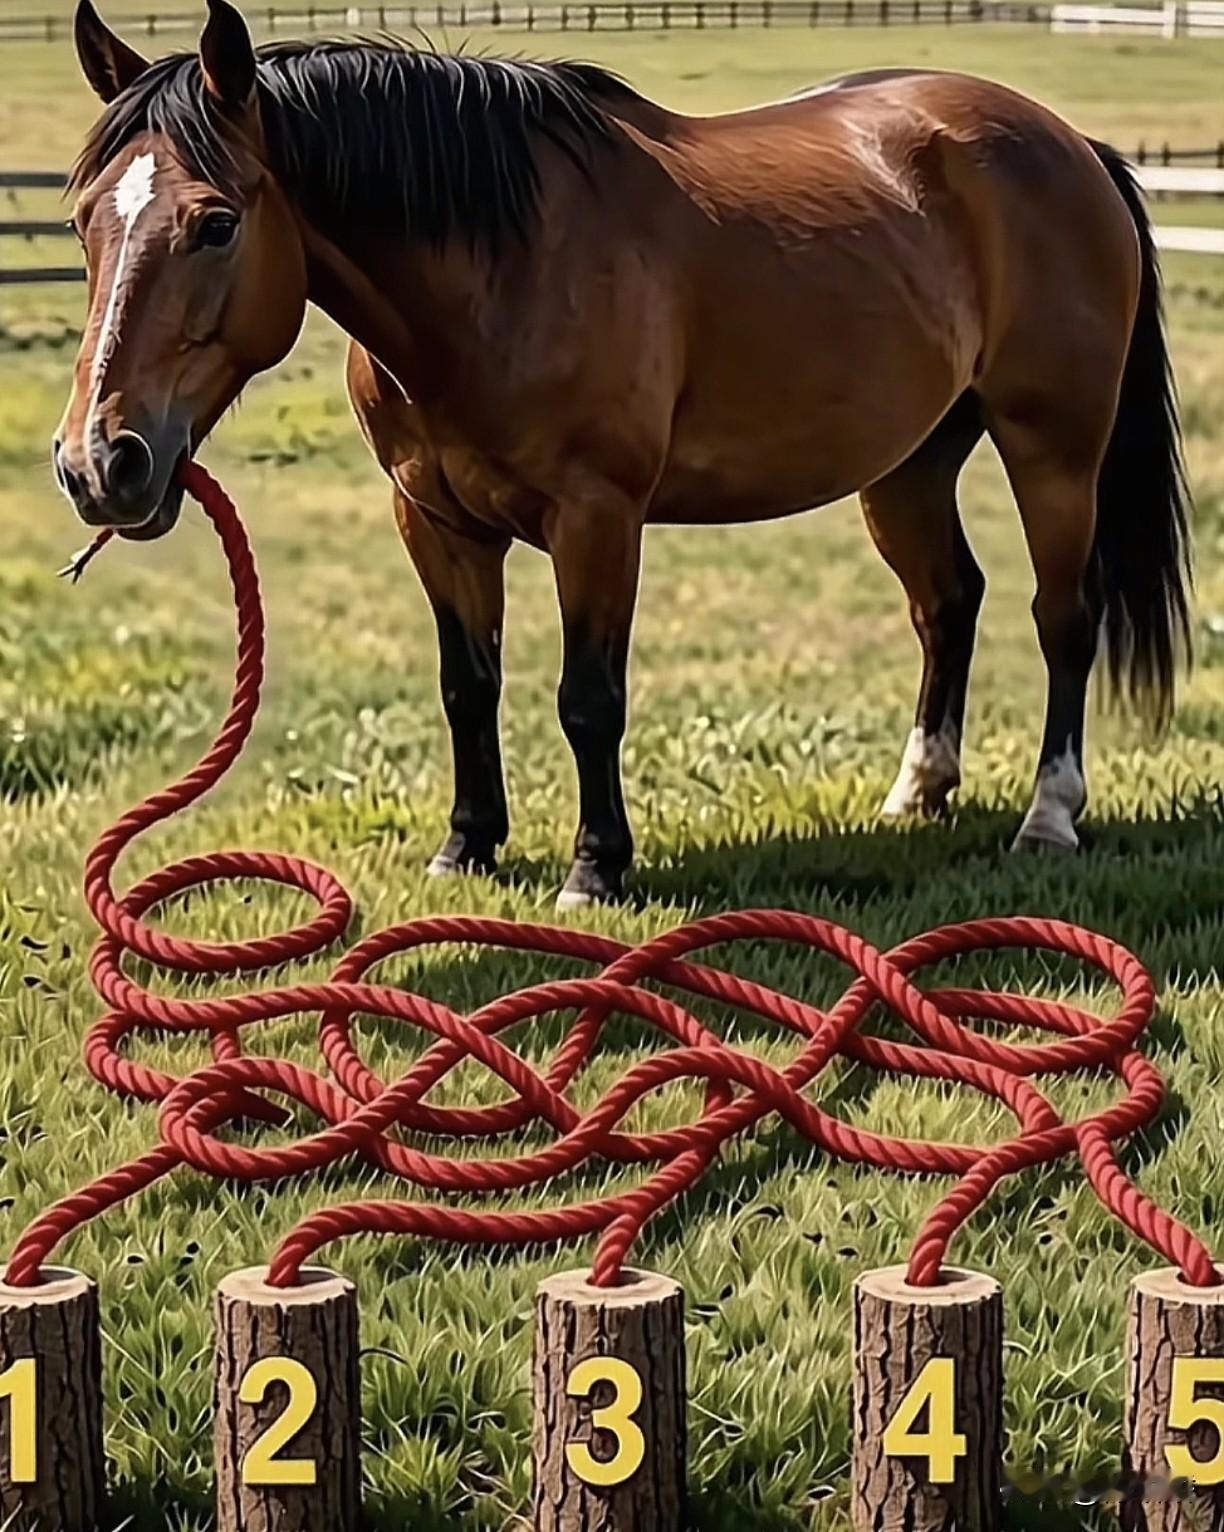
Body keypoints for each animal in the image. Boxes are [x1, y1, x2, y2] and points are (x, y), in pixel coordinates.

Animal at [55, 0, 1191, 907]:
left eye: (214, 223)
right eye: (81, 223)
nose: (99, 463)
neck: (500, 270)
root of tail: (1071, 144)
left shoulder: (597, 519)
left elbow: (587, 697)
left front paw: (596, 866)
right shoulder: (435, 520)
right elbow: (468, 685)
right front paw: (469, 847)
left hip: (1054, 450)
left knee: (1063, 617)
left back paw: (1049, 816)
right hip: (907, 465)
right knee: (947, 603)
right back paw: (919, 790)